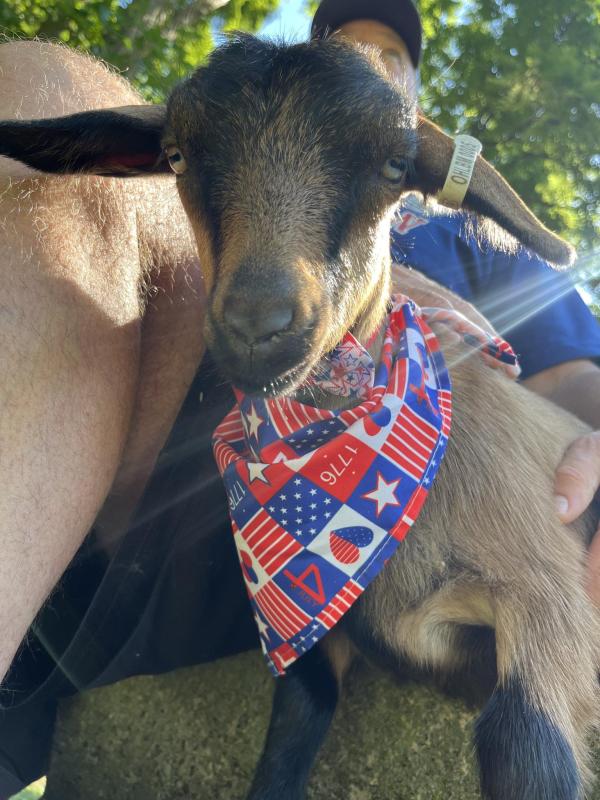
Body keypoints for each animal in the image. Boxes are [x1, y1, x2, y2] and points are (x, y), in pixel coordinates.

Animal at [0, 34, 597, 800]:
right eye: (177, 156)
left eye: (396, 164)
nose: (259, 325)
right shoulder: (321, 639)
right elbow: (290, 735)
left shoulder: (549, 603)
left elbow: (524, 742)